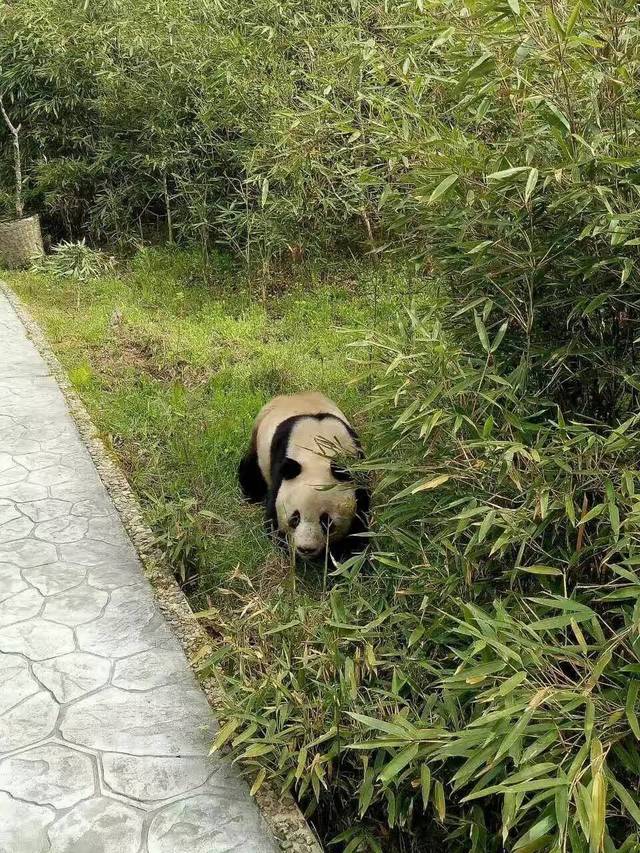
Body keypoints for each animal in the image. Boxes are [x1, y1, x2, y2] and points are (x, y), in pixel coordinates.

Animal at [239, 392, 370, 560]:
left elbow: (360, 522)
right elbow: (272, 516)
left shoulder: (357, 463)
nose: (306, 549)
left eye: (326, 521)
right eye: (295, 518)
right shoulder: (281, 466)